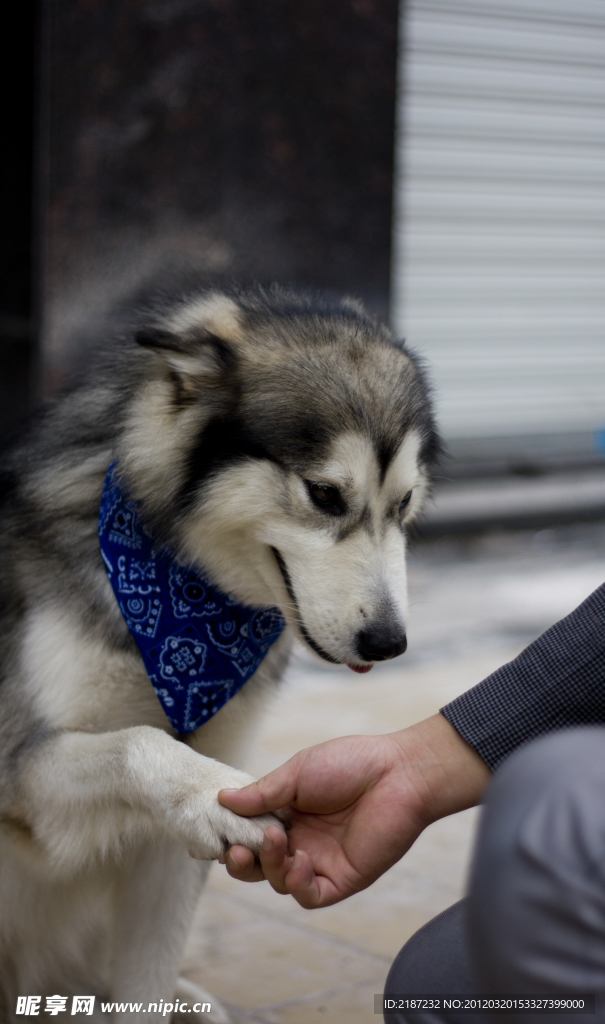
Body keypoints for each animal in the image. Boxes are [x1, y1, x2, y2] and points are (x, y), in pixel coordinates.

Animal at [0, 288, 438, 1024]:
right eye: (325, 494)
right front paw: (209, 794)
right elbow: (139, 739)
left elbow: (146, 975)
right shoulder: (20, 773)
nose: (387, 643)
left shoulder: (169, 842)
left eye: (404, 502)